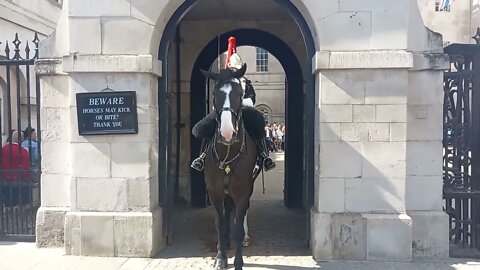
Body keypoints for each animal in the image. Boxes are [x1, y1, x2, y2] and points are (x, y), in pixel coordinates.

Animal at [200, 64, 258, 268]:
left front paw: (238, 261)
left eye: (239, 93)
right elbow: (219, 223)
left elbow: (238, 226)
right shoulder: (214, 192)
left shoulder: (242, 191)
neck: (228, 153)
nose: (227, 132)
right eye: (215, 93)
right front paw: (220, 257)